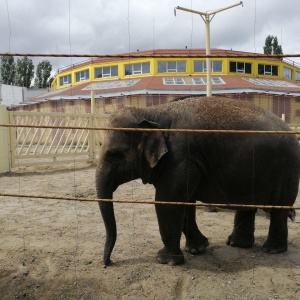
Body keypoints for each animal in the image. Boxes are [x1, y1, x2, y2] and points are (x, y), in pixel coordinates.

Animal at [96, 95, 300, 264]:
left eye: (114, 155)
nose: (108, 263)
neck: (153, 112)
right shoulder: (188, 162)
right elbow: (185, 202)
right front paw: (198, 248)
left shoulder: (180, 157)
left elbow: (168, 200)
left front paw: (165, 260)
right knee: (248, 204)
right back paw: (237, 244)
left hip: (287, 169)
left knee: (278, 208)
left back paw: (271, 250)